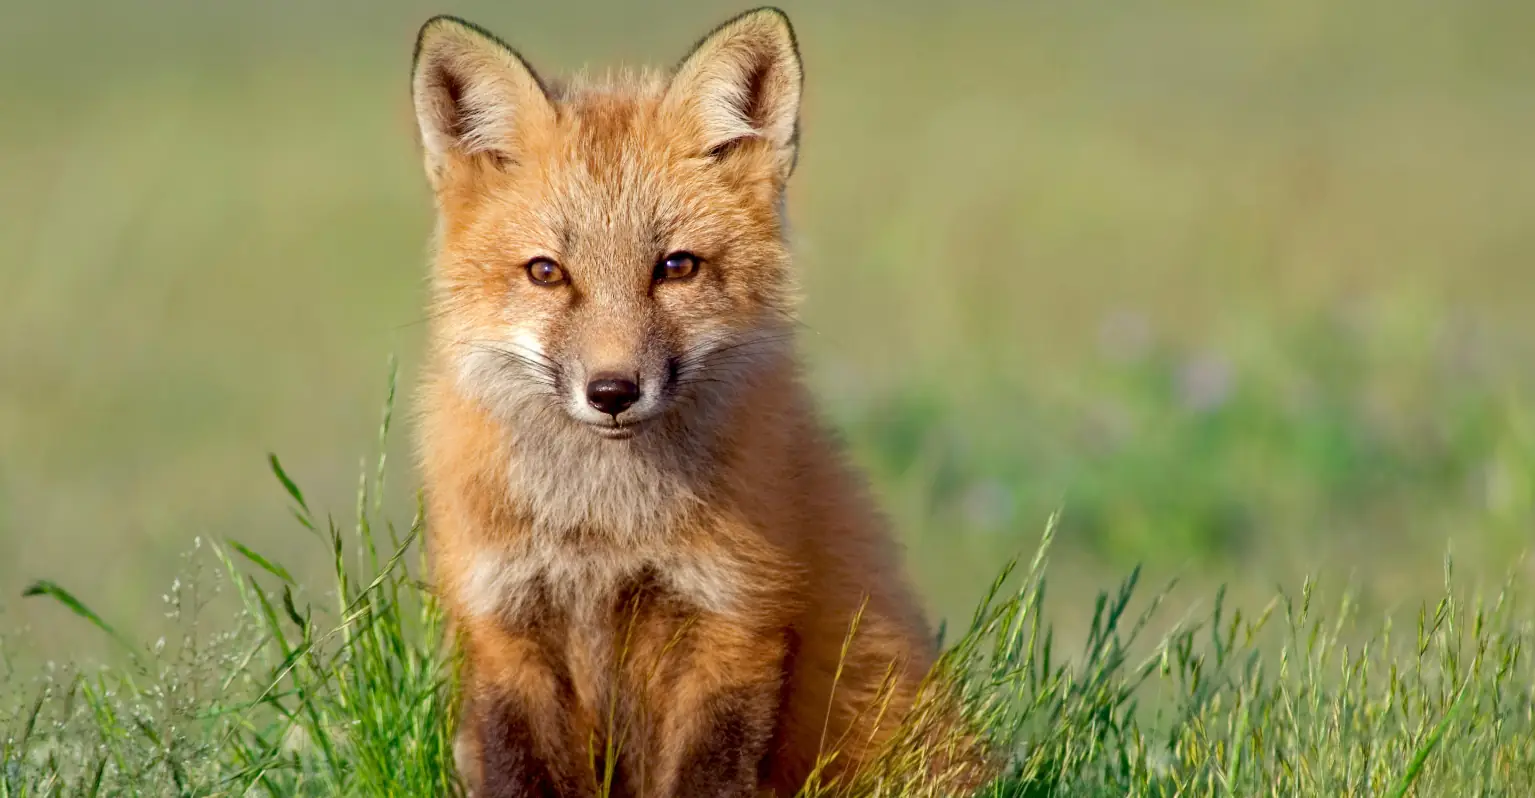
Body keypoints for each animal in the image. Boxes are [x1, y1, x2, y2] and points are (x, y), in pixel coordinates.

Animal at [410, 8, 969, 796]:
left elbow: (707, 770)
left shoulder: (735, 621)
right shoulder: (502, 627)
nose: (612, 391)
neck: (604, 531)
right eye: (546, 273)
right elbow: (522, 770)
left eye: (675, 267)